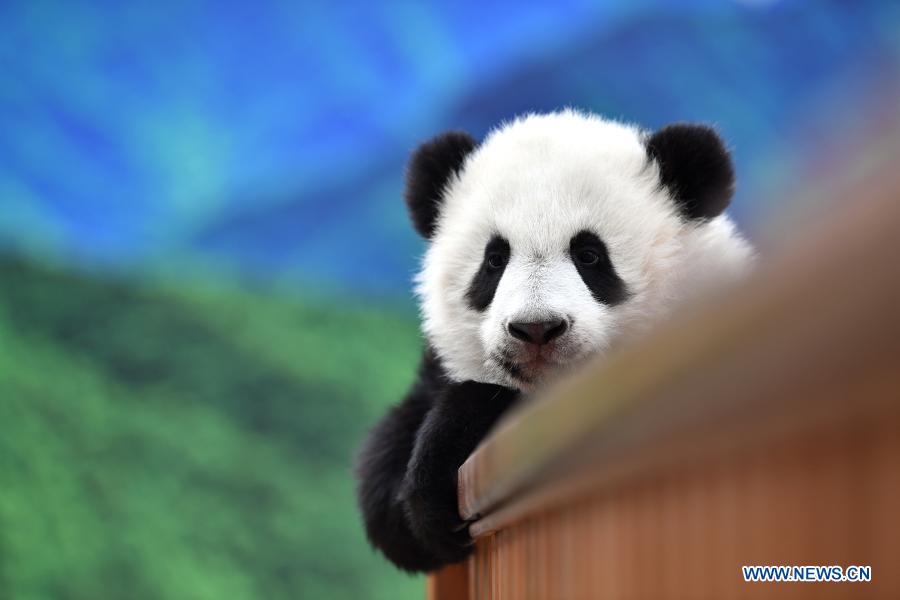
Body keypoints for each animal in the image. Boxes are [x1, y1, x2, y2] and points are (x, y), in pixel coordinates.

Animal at [355, 109, 753, 572]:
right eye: (494, 260)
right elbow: (385, 474)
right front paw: (423, 510)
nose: (536, 329)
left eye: (590, 255)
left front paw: (447, 439)